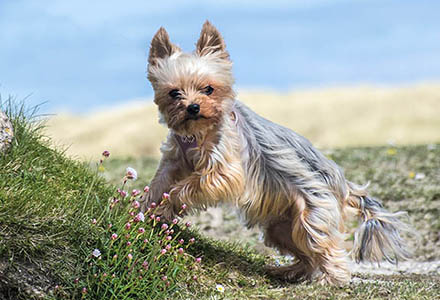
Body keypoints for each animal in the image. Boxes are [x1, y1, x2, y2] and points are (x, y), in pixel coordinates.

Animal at [143, 21, 410, 286]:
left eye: (208, 89)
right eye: (174, 93)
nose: (193, 107)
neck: (196, 134)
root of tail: (345, 185)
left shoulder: (223, 170)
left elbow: (184, 188)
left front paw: (165, 208)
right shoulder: (173, 160)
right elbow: (158, 184)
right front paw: (145, 209)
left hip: (313, 214)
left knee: (323, 245)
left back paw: (332, 279)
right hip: (280, 227)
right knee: (306, 255)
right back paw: (289, 271)